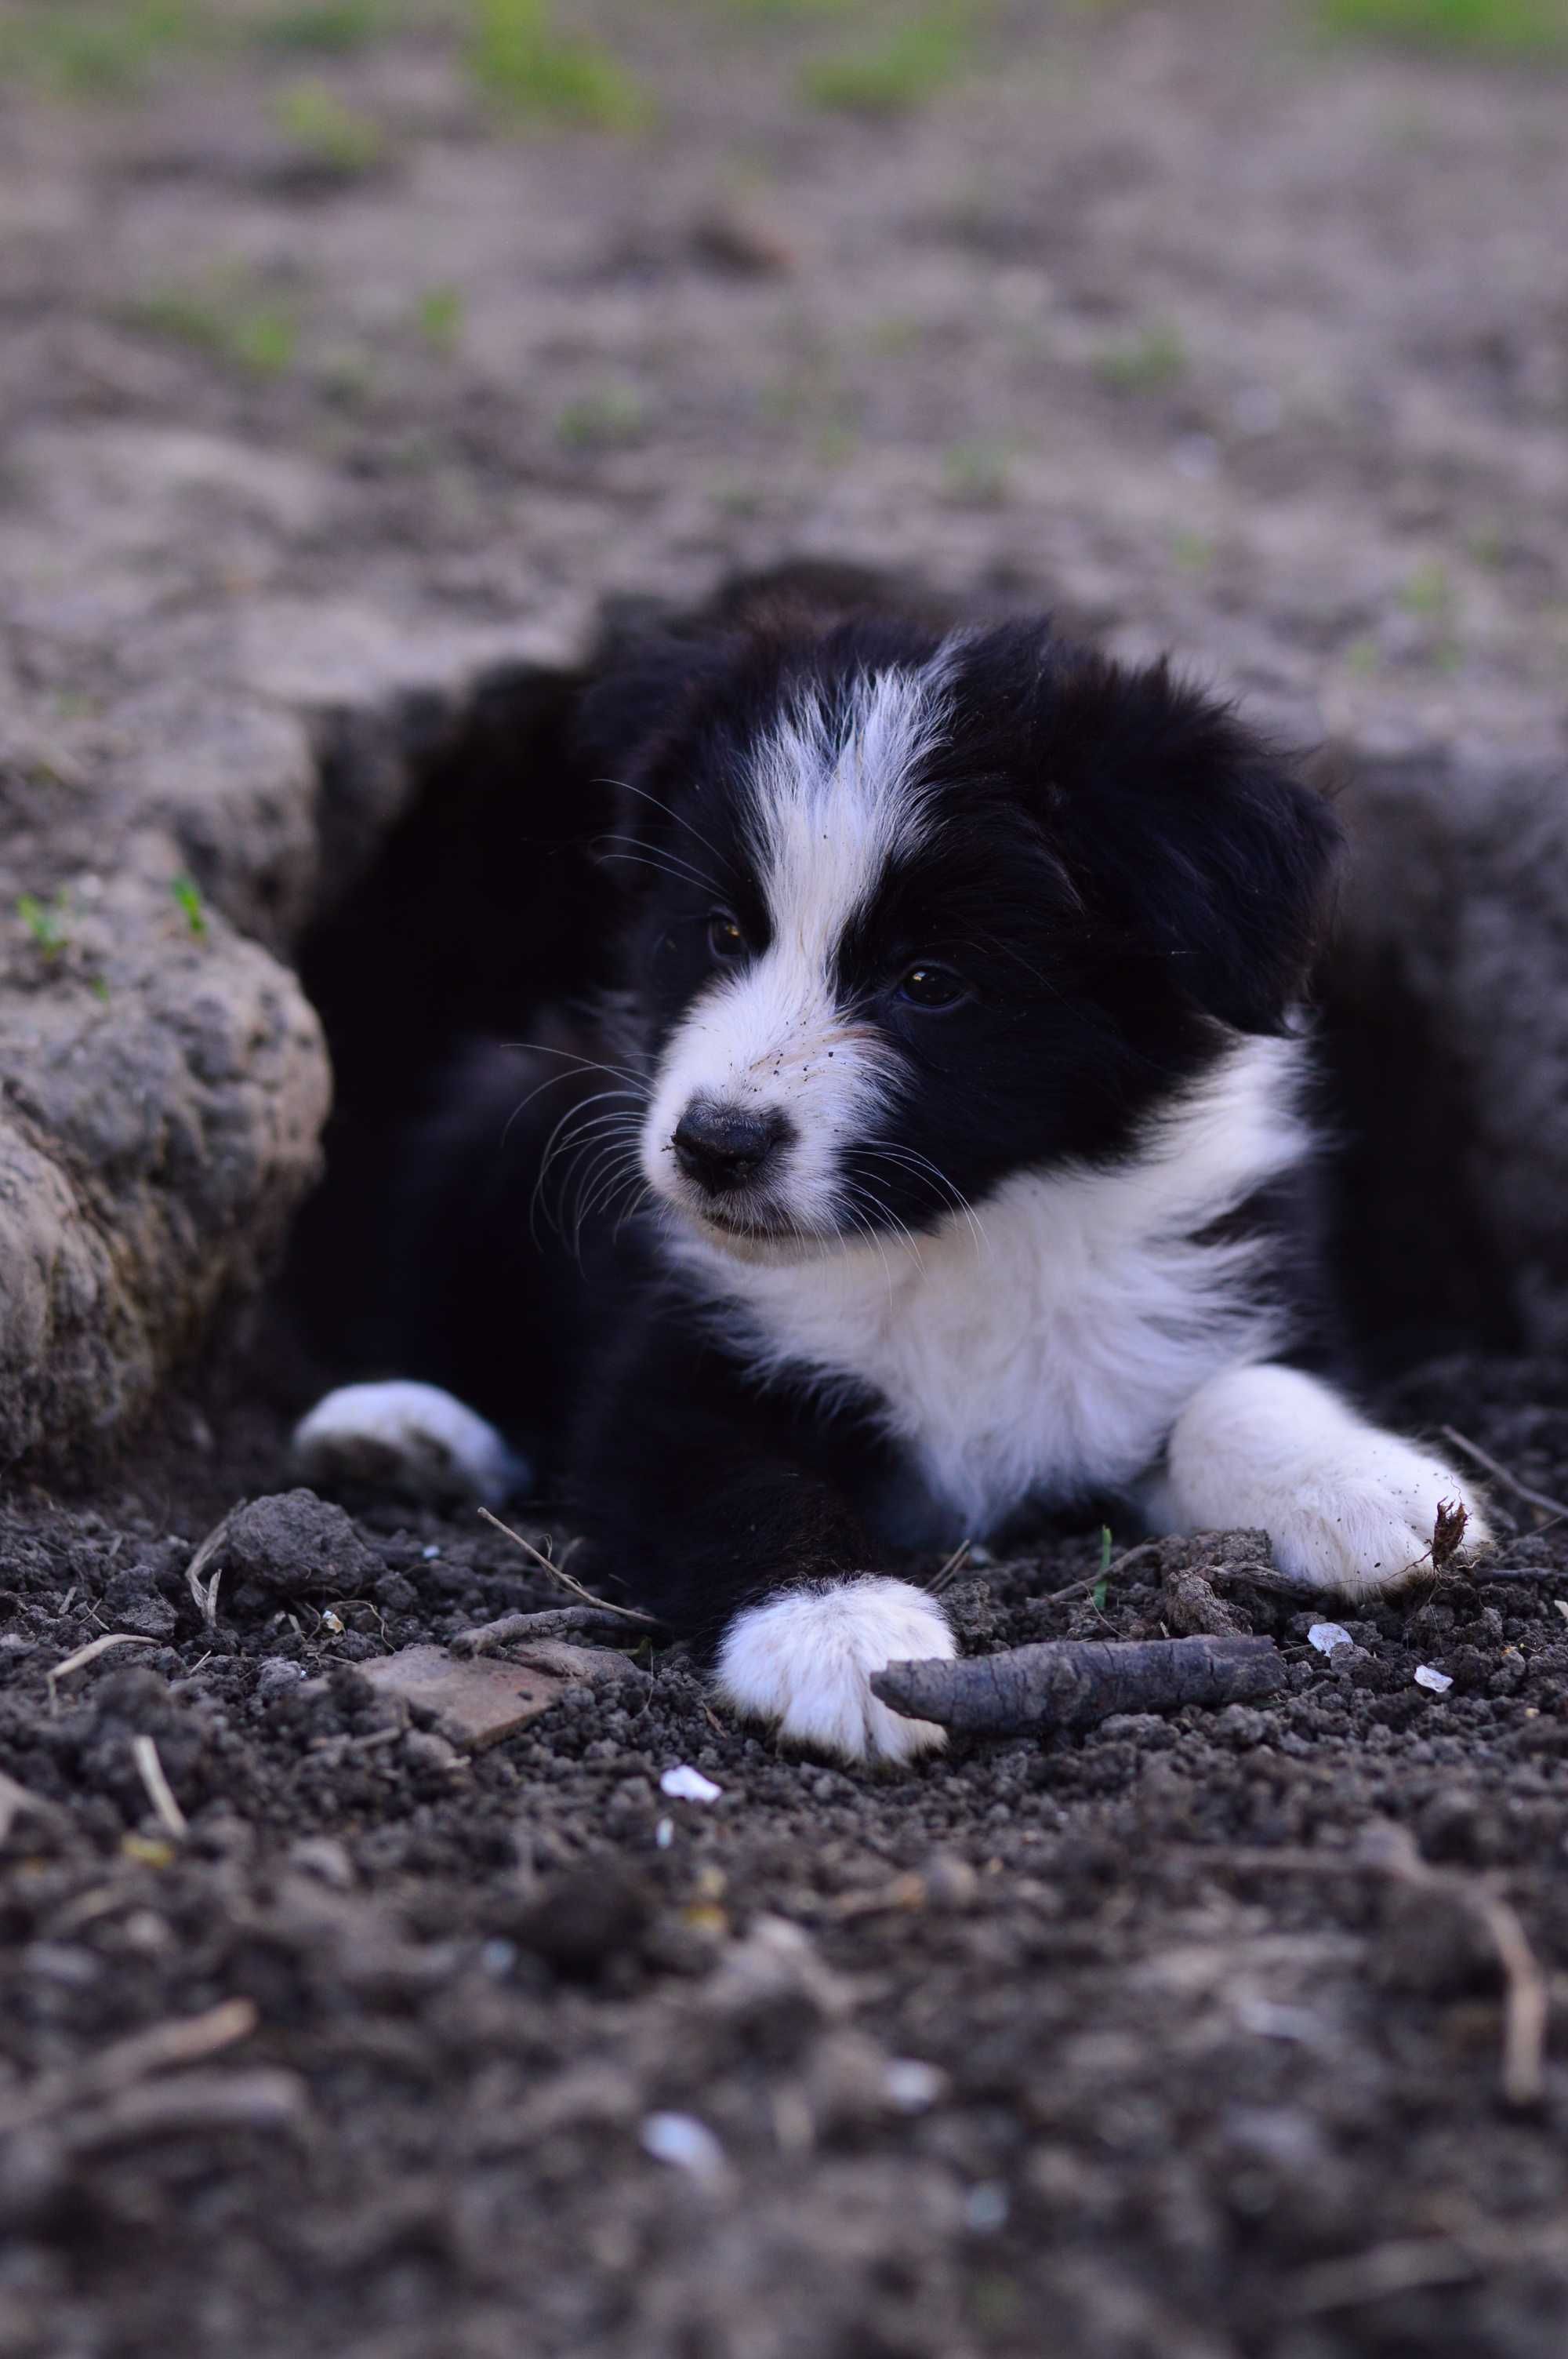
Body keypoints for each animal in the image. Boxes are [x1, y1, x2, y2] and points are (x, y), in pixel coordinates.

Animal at [289, 618, 1480, 1764]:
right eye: (723, 931)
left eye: (929, 983)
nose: (714, 1144)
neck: (952, 1236)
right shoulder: (677, 1360)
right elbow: (750, 1488)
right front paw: (842, 1634)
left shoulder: (1207, 1271)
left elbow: (1242, 1389)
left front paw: (1368, 1488)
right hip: (497, 1118)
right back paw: (399, 1426)